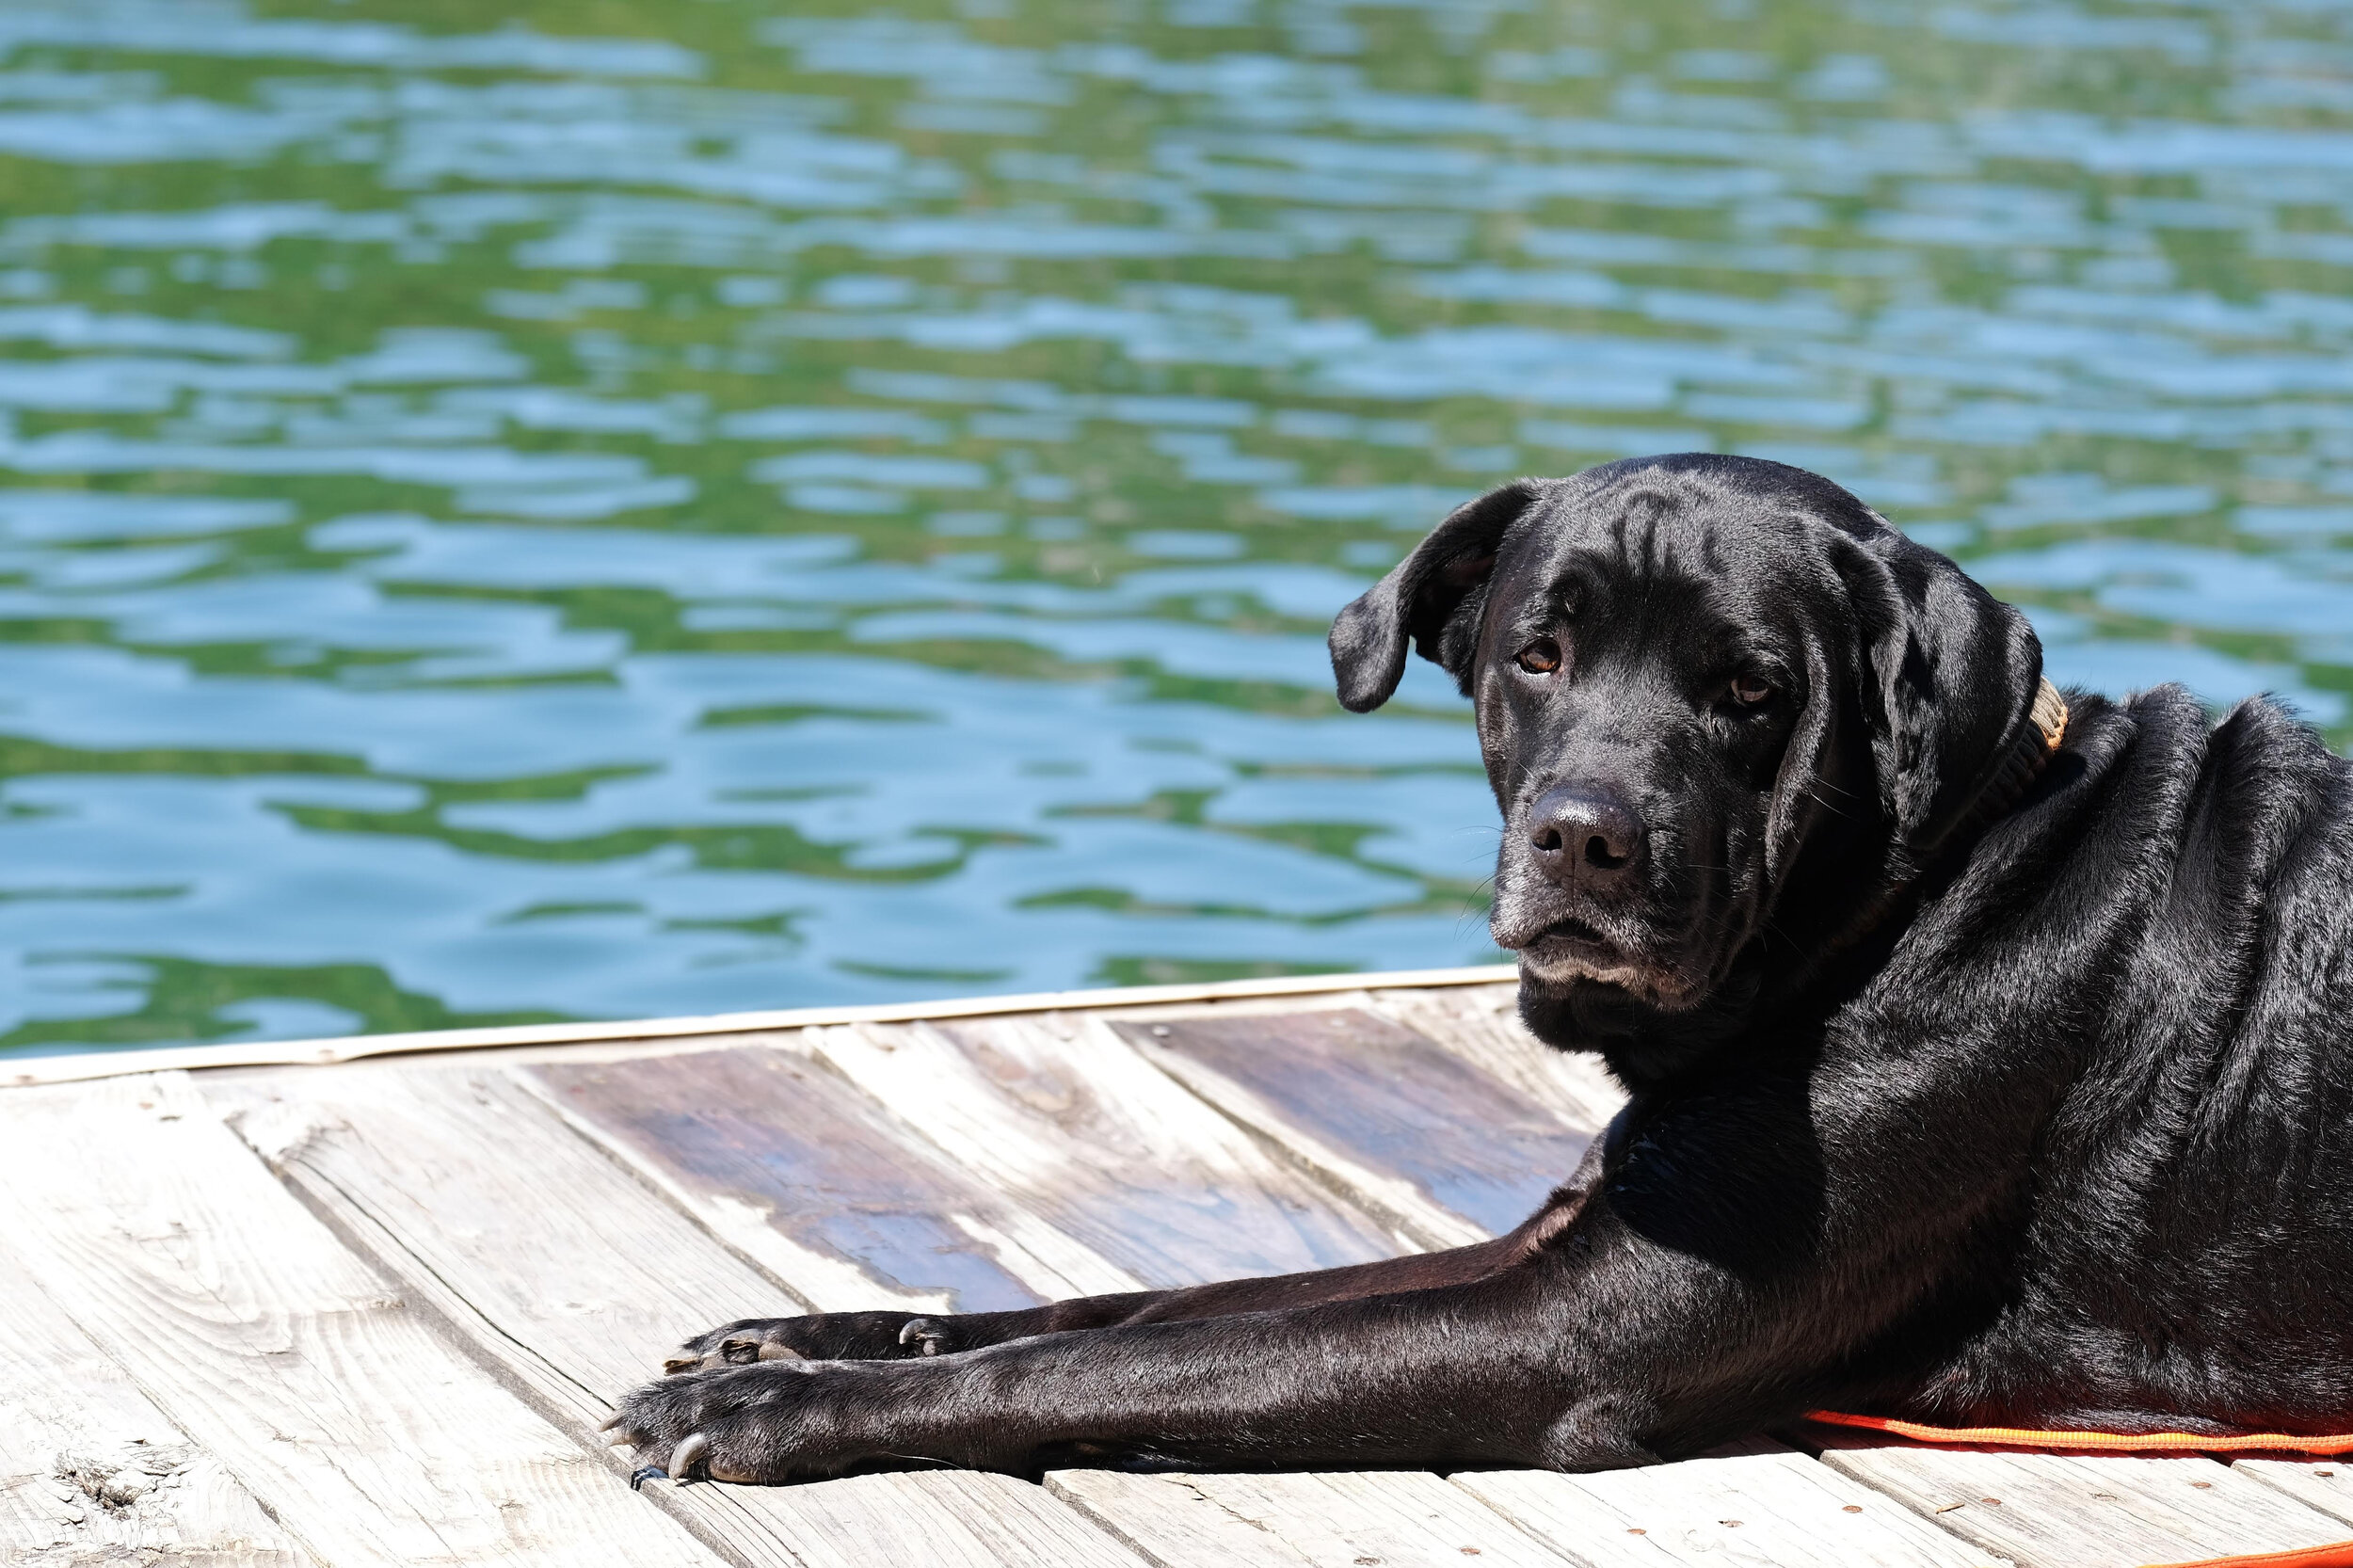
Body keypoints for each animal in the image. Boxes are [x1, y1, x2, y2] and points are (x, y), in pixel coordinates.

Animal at [612, 452, 2353, 1478]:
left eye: (1753, 688)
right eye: (1538, 653)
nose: (1587, 836)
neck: (1911, 895)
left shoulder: (1563, 1331)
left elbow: (1150, 1364)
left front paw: (777, 1410)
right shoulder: (1555, 1242)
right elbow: (1159, 1307)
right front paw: (831, 1336)